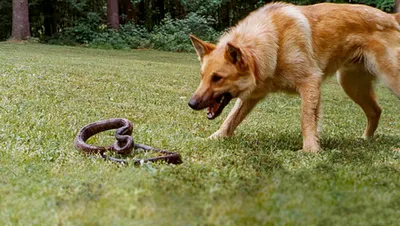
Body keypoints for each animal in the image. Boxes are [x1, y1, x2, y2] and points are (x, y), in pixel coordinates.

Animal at [188, 2, 400, 152]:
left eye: (217, 78)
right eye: (202, 76)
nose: (191, 103)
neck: (275, 41)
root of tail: (392, 17)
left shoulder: (310, 82)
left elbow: (306, 119)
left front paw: (310, 150)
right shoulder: (252, 96)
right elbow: (231, 119)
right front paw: (215, 138)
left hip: (389, 80)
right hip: (351, 85)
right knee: (375, 110)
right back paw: (365, 140)